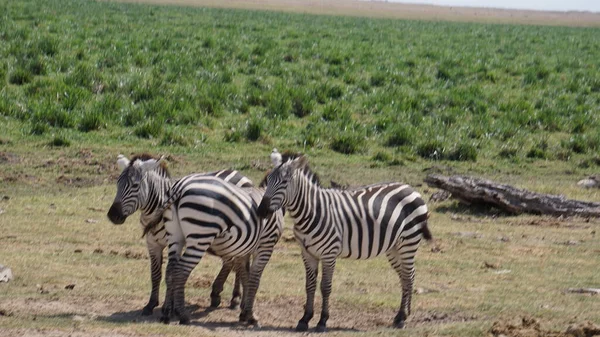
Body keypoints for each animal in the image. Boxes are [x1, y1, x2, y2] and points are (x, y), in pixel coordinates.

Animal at [106, 154, 254, 316]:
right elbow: (155, 274)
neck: (160, 205)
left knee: (238, 264)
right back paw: (217, 294)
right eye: (117, 184)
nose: (113, 215)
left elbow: (170, 273)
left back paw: (235, 299)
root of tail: (238, 173)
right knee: (231, 262)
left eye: (135, 185)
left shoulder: (175, 241)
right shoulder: (152, 244)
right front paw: (151, 304)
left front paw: (168, 306)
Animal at [256, 153, 432, 330]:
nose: (261, 211)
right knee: (405, 276)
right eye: (268, 179)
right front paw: (304, 319)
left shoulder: (329, 254)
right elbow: (310, 285)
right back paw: (402, 315)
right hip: (394, 247)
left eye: (284, 182)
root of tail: (410, 188)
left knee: (409, 275)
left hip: (408, 241)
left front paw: (322, 321)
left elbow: (325, 286)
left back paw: (402, 317)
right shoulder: (307, 253)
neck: (312, 211)